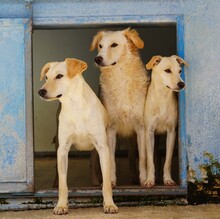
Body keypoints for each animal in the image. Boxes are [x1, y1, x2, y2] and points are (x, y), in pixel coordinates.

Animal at [38, 58, 119, 216]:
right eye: (46, 77)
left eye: (59, 76)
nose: (41, 91)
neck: (75, 107)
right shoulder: (63, 149)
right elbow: (63, 184)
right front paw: (61, 206)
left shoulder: (103, 148)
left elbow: (106, 183)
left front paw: (109, 204)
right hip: (58, 144)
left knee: (92, 163)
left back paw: (95, 182)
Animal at [90, 28, 150, 187]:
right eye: (100, 46)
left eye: (114, 45)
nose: (97, 59)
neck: (120, 78)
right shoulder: (110, 129)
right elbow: (110, 159)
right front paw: (110, 181)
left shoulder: (141, 127)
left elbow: (142, 158)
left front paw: (144, 180)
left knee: (131, 155)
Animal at [144, 55, 188, 187]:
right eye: (167, 70)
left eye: (180, 71)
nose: (182, 84)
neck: (162, 97)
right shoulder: (149, 132)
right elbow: (150, 160)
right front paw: (149, 180)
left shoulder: (171, 132)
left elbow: (167, 161)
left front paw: (168, 179)